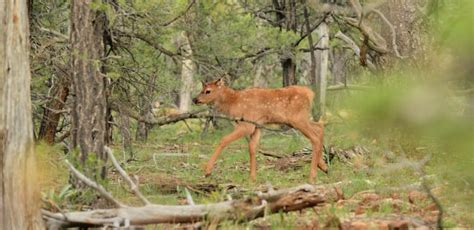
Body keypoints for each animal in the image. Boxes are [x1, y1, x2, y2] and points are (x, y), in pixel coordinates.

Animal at [193, 78, 326, 182]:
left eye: (208, 91)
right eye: (202, 89)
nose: (195, 99)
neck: (234, 103)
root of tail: (310, 93)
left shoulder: (247, 125)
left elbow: (224, 139)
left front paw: (207, 171)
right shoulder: (257, 126)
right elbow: (252, 148)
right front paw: (252, 177)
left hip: (297, 119)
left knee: (315, 136)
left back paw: (312, 176)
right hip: (299, 119)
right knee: (319, 127)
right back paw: (324, 167)